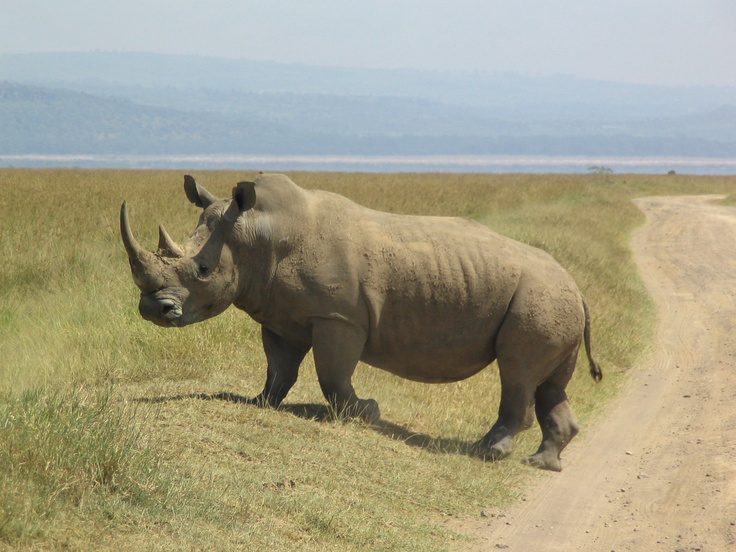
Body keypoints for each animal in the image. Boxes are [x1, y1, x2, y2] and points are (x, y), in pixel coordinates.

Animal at [121, 173, 602, 471]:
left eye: (202, 271)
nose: (154, 310)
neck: (260, 233)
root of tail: (578, 287)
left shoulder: (339, 316)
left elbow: (332, 374)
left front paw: (366, 412)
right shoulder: (279, 314)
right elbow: (279, 368)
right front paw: (261, 403)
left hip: (540, 298)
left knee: (517, 371)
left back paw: (487, 452)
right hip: (552, 301)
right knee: (548, 383)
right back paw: (541, 463)